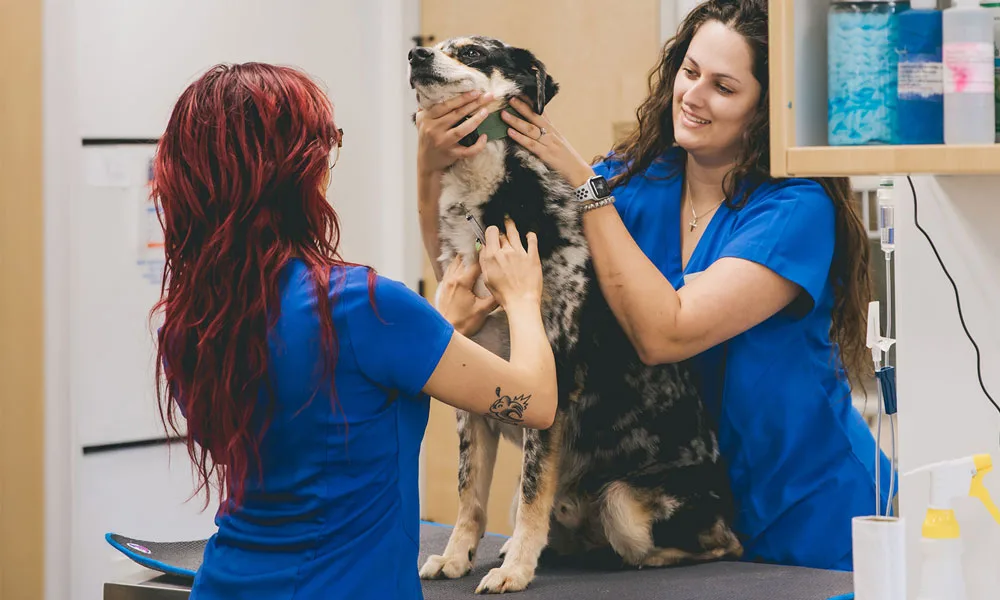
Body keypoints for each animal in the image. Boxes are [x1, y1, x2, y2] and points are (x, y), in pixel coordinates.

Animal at [406, 37, 744, 596]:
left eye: (472, 52)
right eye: (435, 47)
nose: (415, 56)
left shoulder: (553, 386)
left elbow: (532, 493)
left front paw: (516, 571)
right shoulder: (473, 396)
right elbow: (468, 494)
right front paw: (456, 558)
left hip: (626, 503)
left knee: (718, 546)